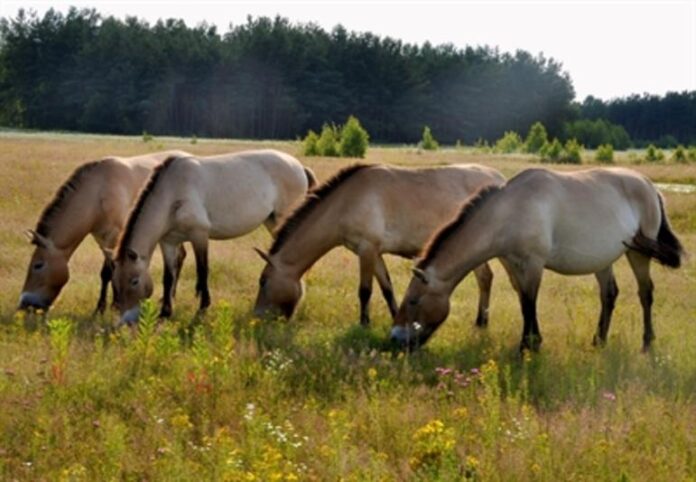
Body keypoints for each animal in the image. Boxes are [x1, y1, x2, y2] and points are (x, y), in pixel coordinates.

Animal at [19, 151, 190, 312]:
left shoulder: (115, 238)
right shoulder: (102, 239)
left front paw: (109, 306)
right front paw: (107, 305)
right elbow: (108, 272)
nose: (24, 304)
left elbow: (109, 271)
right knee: (180, 256)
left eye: (38, 265)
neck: (99, 192)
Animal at [112, 149, 316, 326]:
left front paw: (202, 309)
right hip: (272, 222)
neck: (172, 194)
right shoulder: (168, 243)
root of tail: (299, 166)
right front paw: (165, 312)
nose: (126, 320)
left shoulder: (199, 235)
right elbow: (168, 277)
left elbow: (203, 272)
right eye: (115, 283)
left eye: (134, 281)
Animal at [253, 164, 502, 326]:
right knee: (485, 277)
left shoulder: (367, 249)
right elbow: (386, 288)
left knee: (485, 278)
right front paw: (395, 318)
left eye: (263, 281)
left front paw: (364, 324)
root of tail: (498, 177)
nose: (257, 316)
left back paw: (482, 321)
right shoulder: (375, 252)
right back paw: (481, 320)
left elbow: (365, 290)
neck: (347, 202)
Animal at [392, 168, 684, 352]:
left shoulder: (533, 264)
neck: (509, 212)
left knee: (646, 293)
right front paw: (532, 342)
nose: (394, 339)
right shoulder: (515, 264)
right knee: (609, 295)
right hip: (603, 260)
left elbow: (530, 303)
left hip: (638, 253)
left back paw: (647, 343)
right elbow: (524, 301)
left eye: (413, 301)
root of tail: (649, 185)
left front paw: (528, 345)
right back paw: (599, 340)